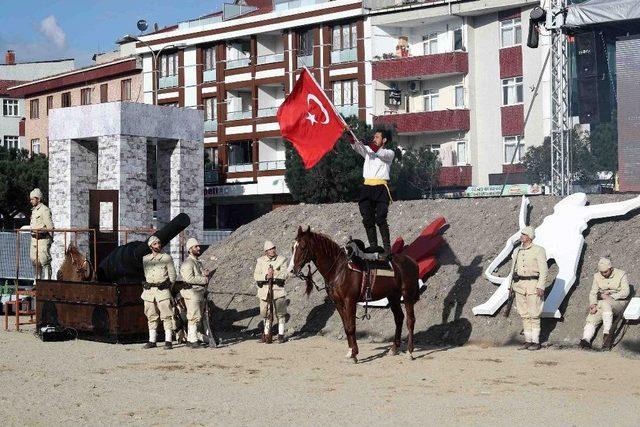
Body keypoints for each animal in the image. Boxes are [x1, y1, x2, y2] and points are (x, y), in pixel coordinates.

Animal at [288, 226, 420, 362]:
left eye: (302, 246)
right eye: (293, 247)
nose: (292, 270)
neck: (339, 270)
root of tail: (412, 261)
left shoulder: (349, 301)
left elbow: (352, 327)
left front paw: (355, 354)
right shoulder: (338, 303)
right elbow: (347, 327)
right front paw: (350, 351)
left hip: (407, 295)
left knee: (410, 320)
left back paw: (410, 351)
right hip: (393, 296)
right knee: (399, 318)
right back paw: (394, 348)